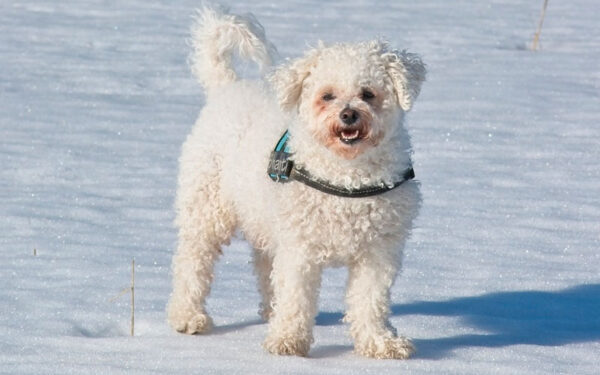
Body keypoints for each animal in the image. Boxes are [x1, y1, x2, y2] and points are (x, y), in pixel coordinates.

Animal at [166, 4, 424, 360]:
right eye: (327, 95)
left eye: (368, 94)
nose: (348, 115)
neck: (346, 177)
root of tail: (228, 86)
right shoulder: (300, 249)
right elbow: (296, 296)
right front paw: (288, 341)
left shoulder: (378, 252)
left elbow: (370, 302)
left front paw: (380, 343)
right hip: (206, 209)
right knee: (193, 262)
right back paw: (188, 316)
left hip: (263, 218)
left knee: (264, 265)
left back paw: (267, 311)